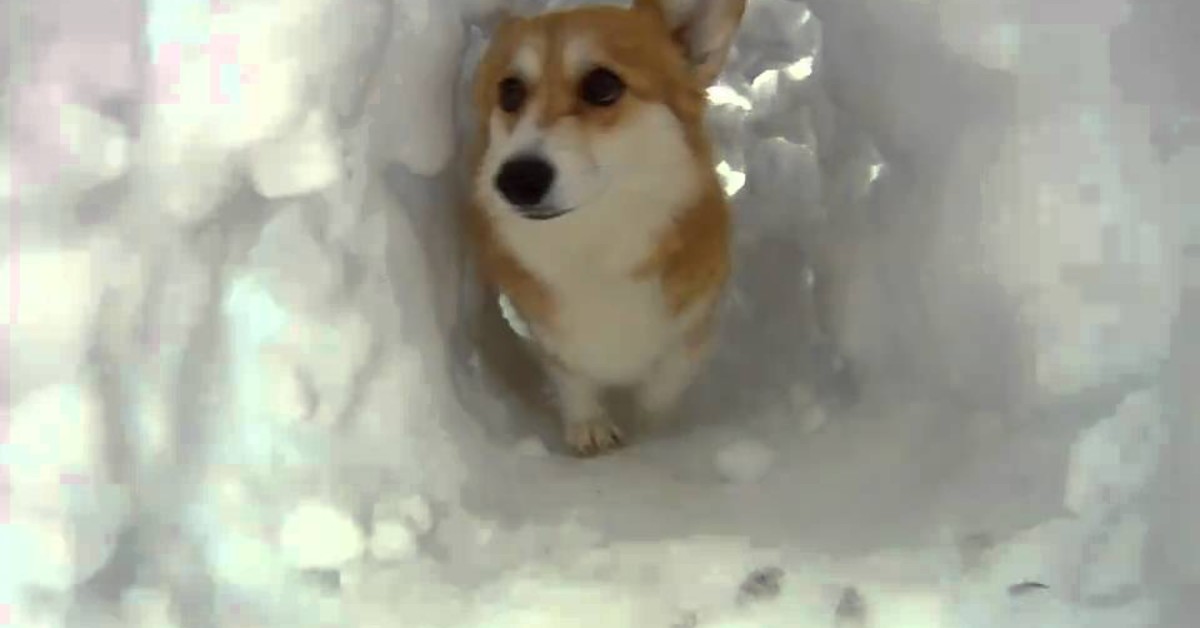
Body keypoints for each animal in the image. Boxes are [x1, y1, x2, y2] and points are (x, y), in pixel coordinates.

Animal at [465, 0, 739, 453]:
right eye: (509, 92)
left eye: (602, 86)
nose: (516, 180)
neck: (594, 244)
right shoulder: (548, 336)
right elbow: (573, 380)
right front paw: (590, 429)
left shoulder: (691, 331)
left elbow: (661, 389)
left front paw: (651, 434)